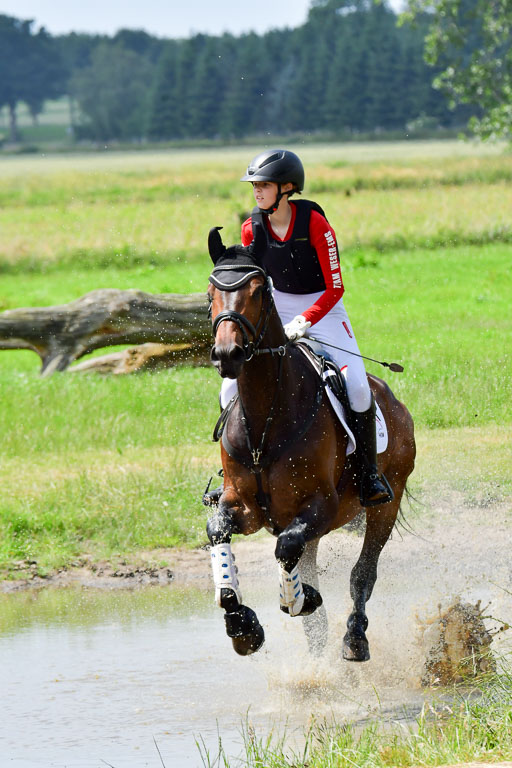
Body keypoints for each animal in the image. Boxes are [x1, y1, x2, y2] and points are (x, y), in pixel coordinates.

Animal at [205, 226, 416, 660]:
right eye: (210, 291)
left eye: (258, 290)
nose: (227, 354)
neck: (264, 423)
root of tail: (394, 401)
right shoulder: (243, 507)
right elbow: (218, 532)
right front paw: (242, 626)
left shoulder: (320, 505)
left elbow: (287, 550)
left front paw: (298, 600)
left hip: (387, 501)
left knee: (363, 573)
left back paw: (353, 638)